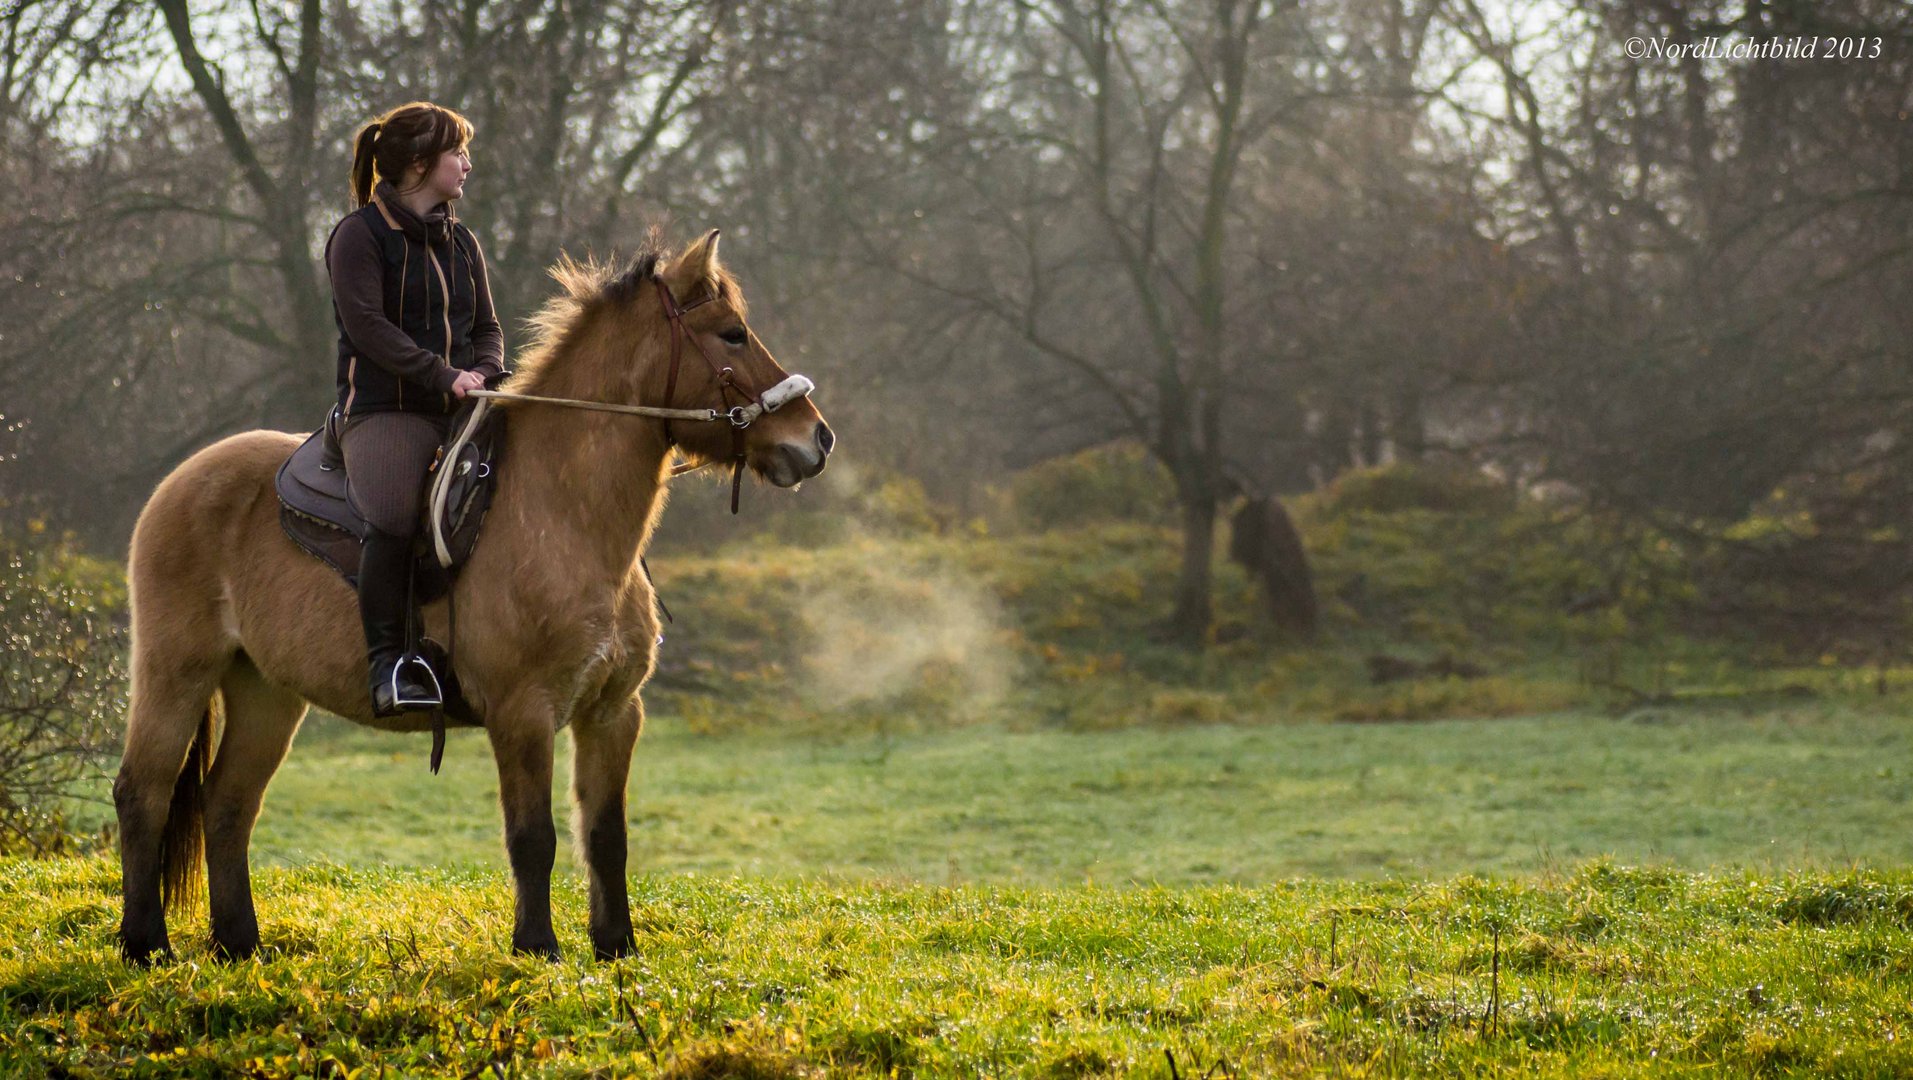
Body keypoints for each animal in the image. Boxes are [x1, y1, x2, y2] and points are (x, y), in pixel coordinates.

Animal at [113, 234, 830, 959]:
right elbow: (533, 838)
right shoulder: (524, 713)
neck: (565, 515)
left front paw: (616, 948)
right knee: (142, 794)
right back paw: (146, 945)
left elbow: (605, 838)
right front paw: (537, 947)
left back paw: (239, 945)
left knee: (227, 804)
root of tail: (180, 482)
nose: (816, 438)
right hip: (177, 671)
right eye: (732, 333)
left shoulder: (611, 714)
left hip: (265, 690)